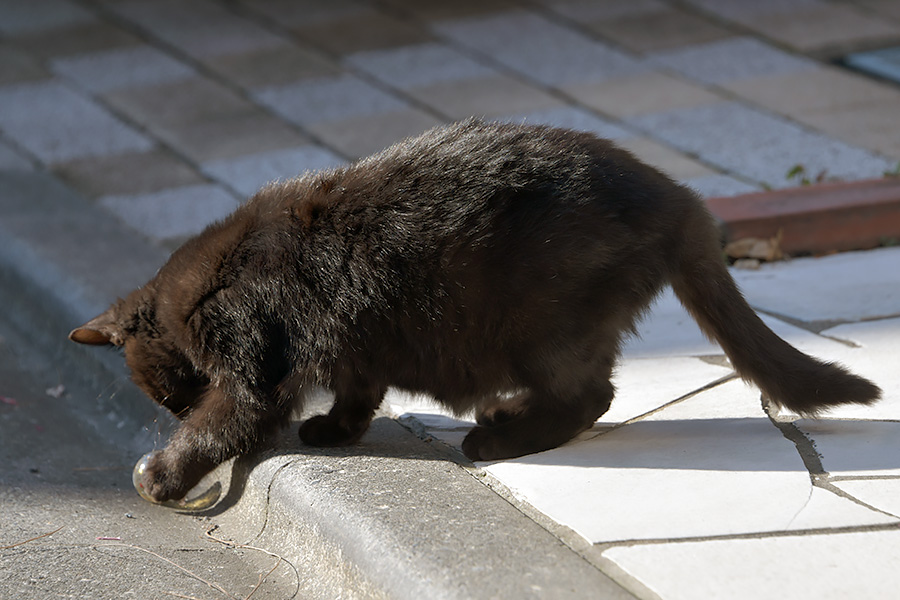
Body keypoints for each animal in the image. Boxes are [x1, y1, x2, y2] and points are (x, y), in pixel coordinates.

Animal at [68, 117, 880, 502]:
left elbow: (226, 421)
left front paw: (162, 472)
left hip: (543, 325)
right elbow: (358, 389)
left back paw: (497, 435)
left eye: (168, 395)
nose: (172, 408)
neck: (201, 287)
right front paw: (335, 430)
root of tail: (680, 198)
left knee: (592, 396)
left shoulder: (251, 362)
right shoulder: (357, 344)